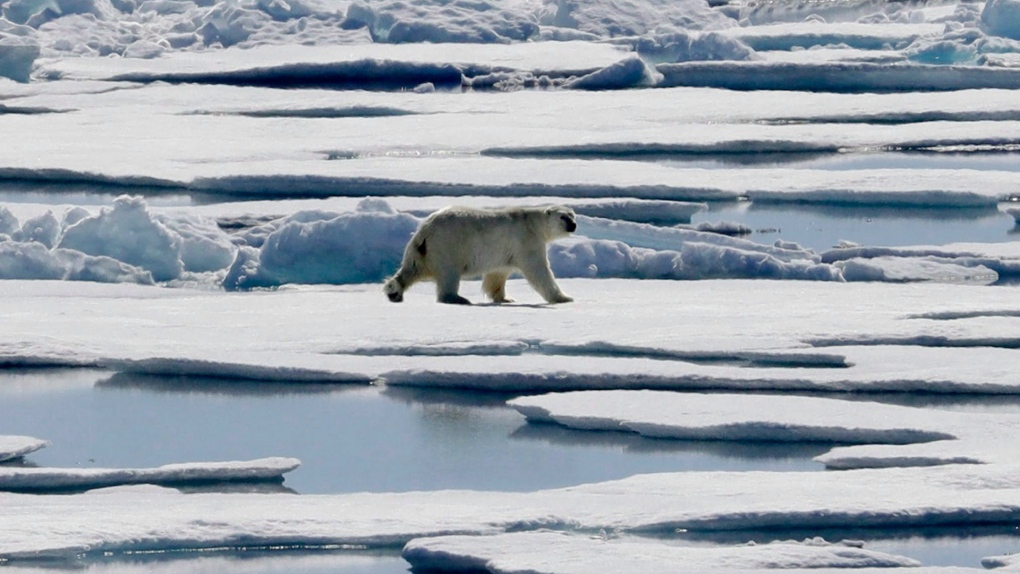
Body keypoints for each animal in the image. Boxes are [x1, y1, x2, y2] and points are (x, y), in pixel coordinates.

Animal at [383, 205, 579, 305]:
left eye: (572, 215)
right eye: (563, 217)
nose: (574, 225)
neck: (534, 222)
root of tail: (426, 229)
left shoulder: (505, 252)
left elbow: (498, 274)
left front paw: (505, 298)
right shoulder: (527, 240)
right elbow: (538, 270)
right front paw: (564, 297)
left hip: (421, 250)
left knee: (412, 268)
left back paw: (394, 292)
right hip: (449, 245)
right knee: (449, 274)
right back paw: (458, 298)